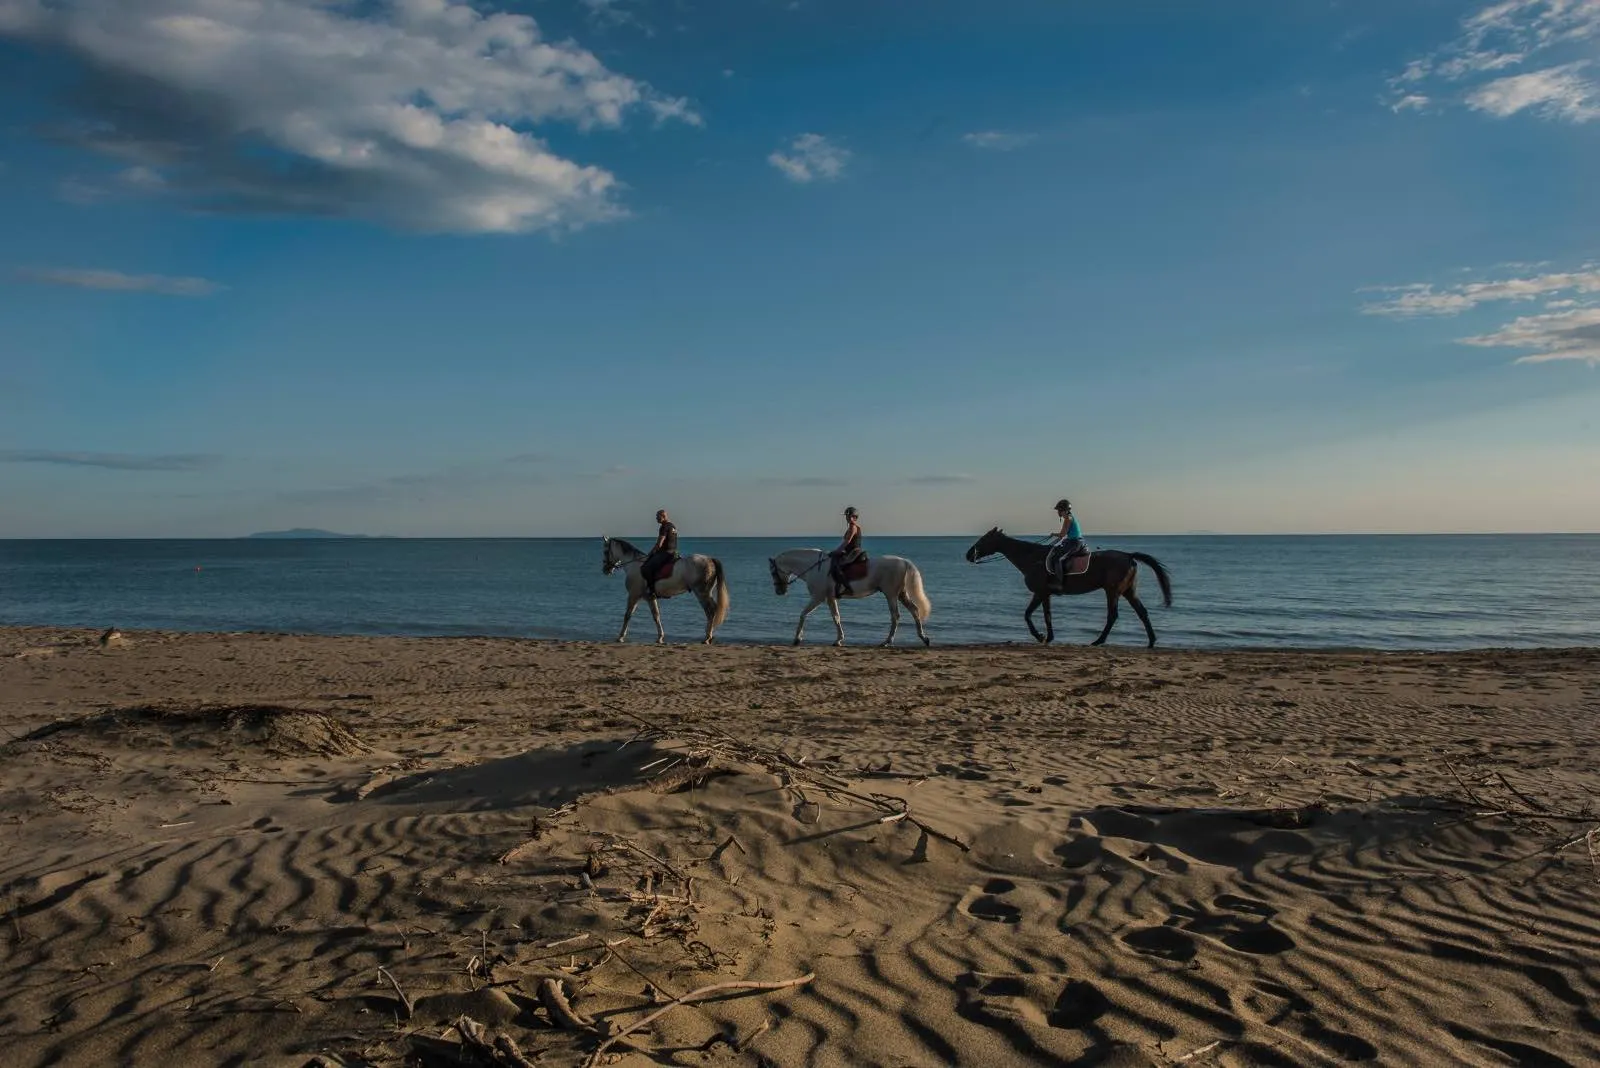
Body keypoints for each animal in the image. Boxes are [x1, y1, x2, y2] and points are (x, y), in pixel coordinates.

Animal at [601, 537, 731, 644]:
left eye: (605, 552)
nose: (605, 570)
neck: (634, 566)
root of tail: (710, 559)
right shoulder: (650, 597)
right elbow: (656, 616)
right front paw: (660, 637)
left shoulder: (634, 595)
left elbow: (627, 615)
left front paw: (620, 637)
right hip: (705, 593)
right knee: (713, 610)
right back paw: (709, 636)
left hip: (701, 593)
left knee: (710, 611)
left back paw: (707, 637)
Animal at [767, 548, 932, 647]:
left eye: (773, 572)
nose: (779, 591)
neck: (814, 568)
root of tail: (903, 561)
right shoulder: (830, 598)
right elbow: (836, 617)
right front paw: (839, 639)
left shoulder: (818, 597)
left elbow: (803, 614)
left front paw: (797, 638)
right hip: (901, 594)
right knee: (914, 610)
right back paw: (924, 637)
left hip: (891, 594)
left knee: (895, 616)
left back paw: (887, 641)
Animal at [964, 528, 1172, 647]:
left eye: (984, 539)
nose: (968, 554)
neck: (1032, 557)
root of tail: (1129, 556)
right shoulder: (1046, 594)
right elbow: (1046, 615)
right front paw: (1048, 637)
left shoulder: (1040, 592)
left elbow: (1028, 615)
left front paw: (1040, 636)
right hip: (1129, 591)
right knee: (1142, 612)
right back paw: (1151, 641)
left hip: (1112, 591)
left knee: (1113, 615)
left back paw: (1098, 641)